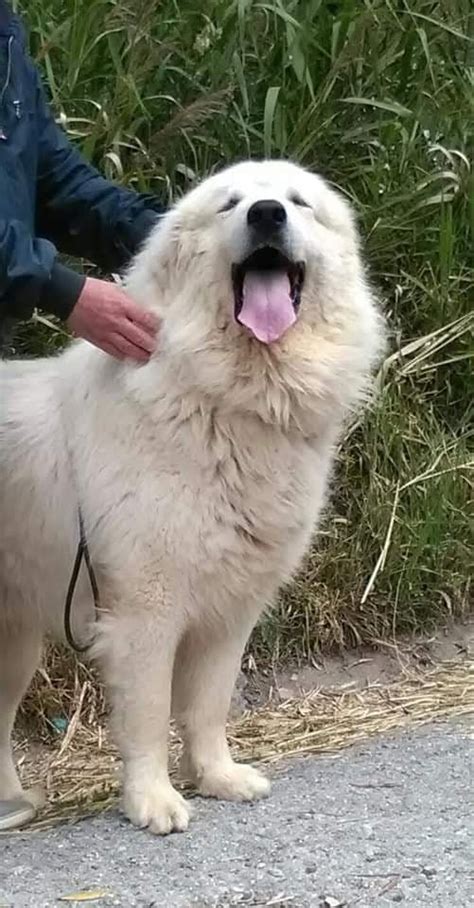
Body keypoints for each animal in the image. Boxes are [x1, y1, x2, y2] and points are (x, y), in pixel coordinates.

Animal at [0, 161, 386, 828]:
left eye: (297, 202)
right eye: (230, 204)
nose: (266, 214)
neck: (229, 401)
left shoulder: (230, 612)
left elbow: (208, 706)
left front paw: (218, 778)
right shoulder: (145, 612)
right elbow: (151, 715)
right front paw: (153, 801)